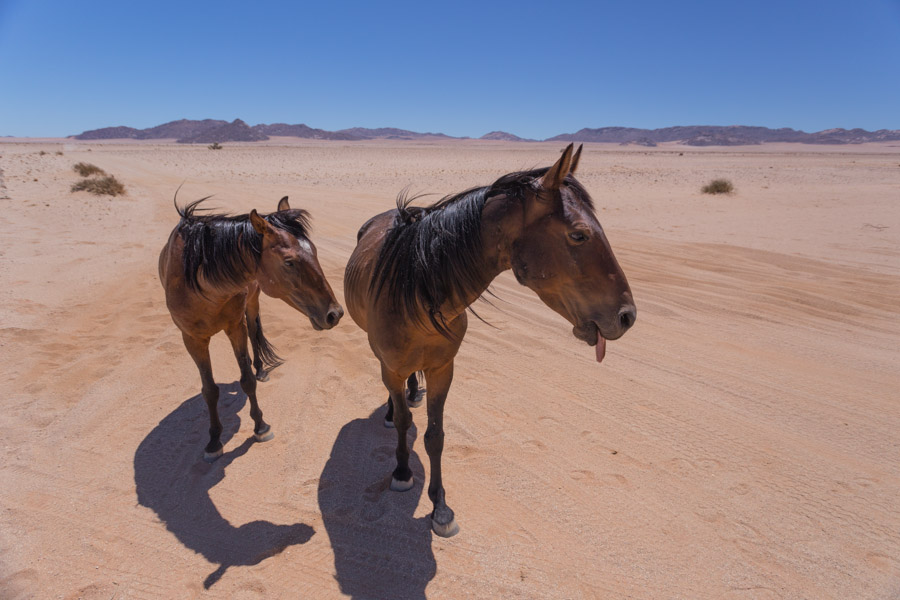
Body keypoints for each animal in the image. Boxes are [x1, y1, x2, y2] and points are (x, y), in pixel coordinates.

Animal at [159, 195, 343, 461]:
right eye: (289, 262)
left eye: (316, 252)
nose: (335, 314)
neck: (203, 286)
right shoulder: (192, 339)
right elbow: (209, 390)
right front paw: (214, 441)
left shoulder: (236, 327)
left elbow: (246, 380)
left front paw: (260, 426)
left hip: (253, 301)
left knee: (255, 331)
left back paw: (261, 369)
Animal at [343, 144, 636, 537]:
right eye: (578, 235)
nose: (627, 316)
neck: (416, 292)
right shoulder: (392, 366)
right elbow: (406, 423)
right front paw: (402, 472)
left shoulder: (443, 369)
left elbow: (435, 436)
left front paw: (440, 507)